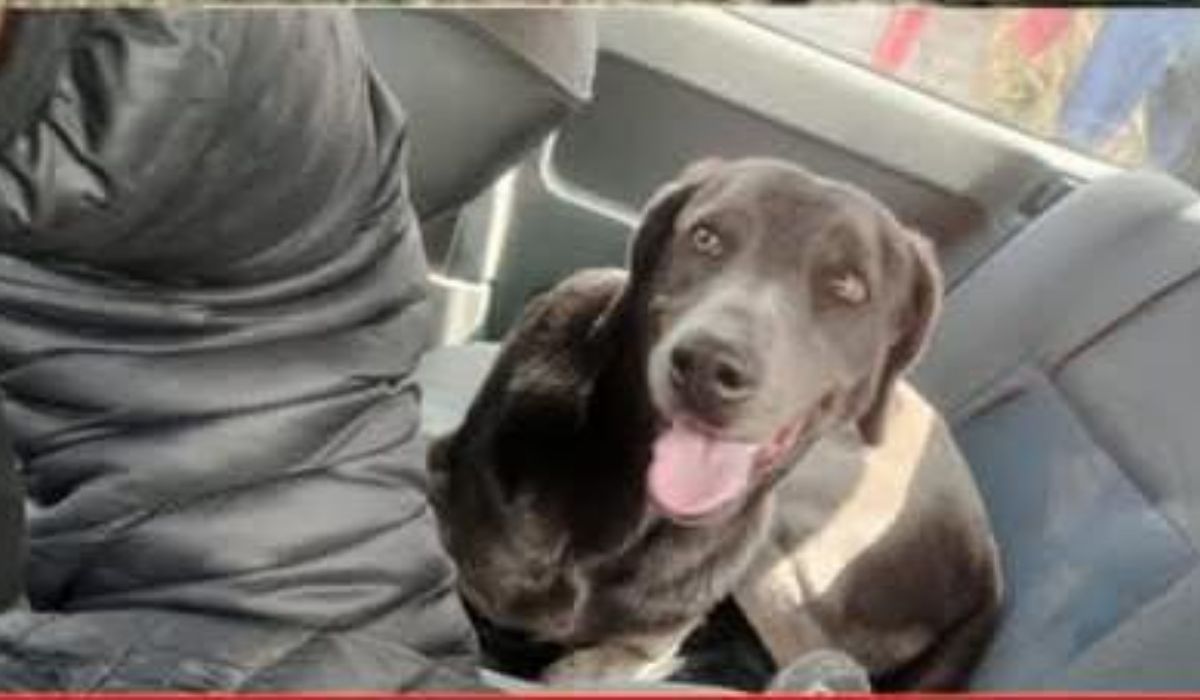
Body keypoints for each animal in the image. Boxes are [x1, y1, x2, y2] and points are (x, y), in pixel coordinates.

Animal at [428, 158, 1001, 689]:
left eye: (848, 285)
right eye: (706, 238)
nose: (707, 365)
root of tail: (987, 566)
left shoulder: (639, 646)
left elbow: (589, 667)